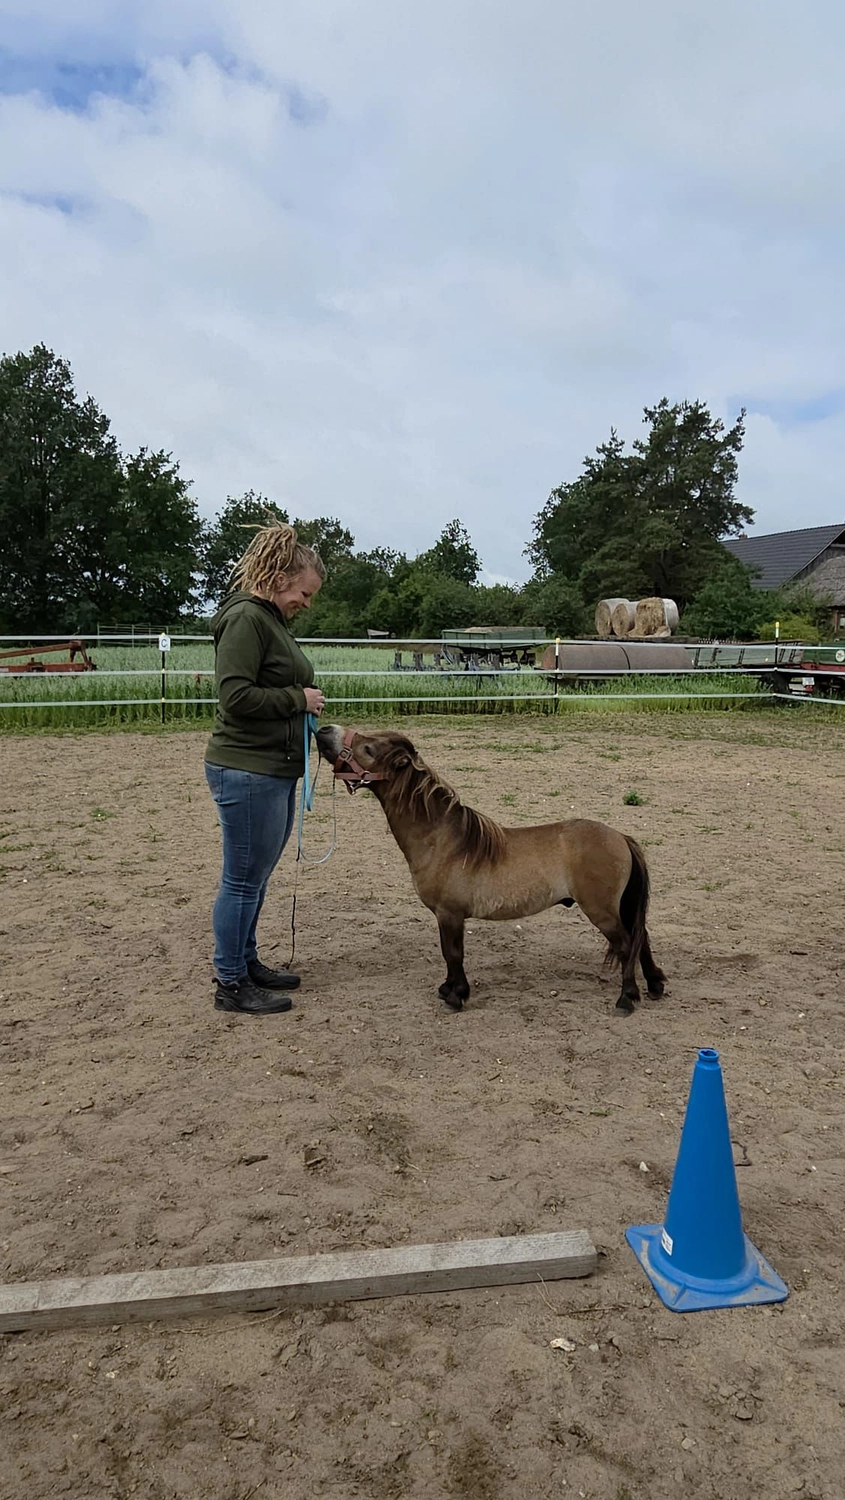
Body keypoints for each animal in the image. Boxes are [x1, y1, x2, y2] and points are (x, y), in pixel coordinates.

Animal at [316, 725, 666, 1016]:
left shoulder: (450, 914)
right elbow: (447, 953)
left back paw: (627, 999)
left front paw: (456, 996)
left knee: (626, 944)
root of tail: (620, 837)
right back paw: (655, 985)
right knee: (641, 938)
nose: (324, 730)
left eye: (368, 749)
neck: (443, 840)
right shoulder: (444, 915)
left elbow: (453, 953)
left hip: (601, 910)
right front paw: (447, 989)